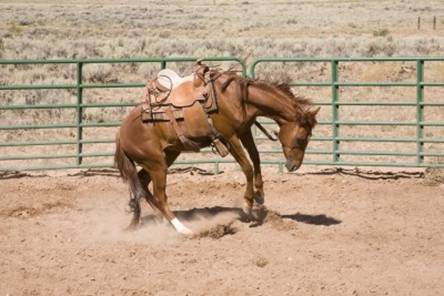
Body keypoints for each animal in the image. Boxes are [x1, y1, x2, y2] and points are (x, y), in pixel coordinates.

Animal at [112, 64, 318, 234]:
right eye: (301, 138)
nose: (293, 166)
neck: (239, 98)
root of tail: (122, 132)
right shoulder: (229, 136)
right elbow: (247, 167)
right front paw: (247, 204)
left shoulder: (244, 132)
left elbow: (256, 158)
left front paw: (260, 195)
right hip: (157, 164)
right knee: (160, 196)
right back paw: (182, 229)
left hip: (166, 156)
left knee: (142, 183)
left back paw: (163, 222)